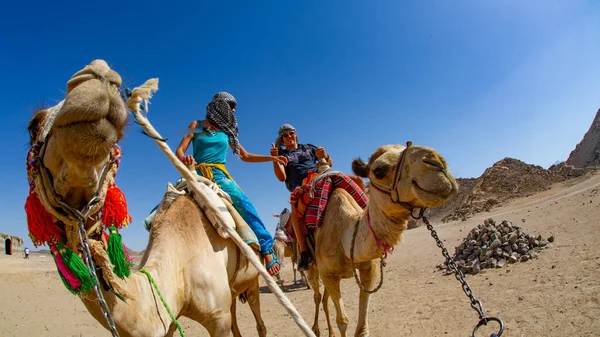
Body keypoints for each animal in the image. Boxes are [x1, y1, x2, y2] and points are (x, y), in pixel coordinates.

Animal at [25, 60, 264, 336]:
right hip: (234, 291)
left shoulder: (218, 317)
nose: (98, 73)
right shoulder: (168, 316)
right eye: (33, 125)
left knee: (259, 323)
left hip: (253, 280)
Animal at [302, 143, 458, 334]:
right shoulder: (329, 274)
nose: (438, 163)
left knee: (324, 299)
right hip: (313, 268)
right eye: (379, 171)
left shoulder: (369, 270)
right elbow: (343, 321)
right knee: (317, 296)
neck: (345, 237)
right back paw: (315, 329)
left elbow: (362, 328)